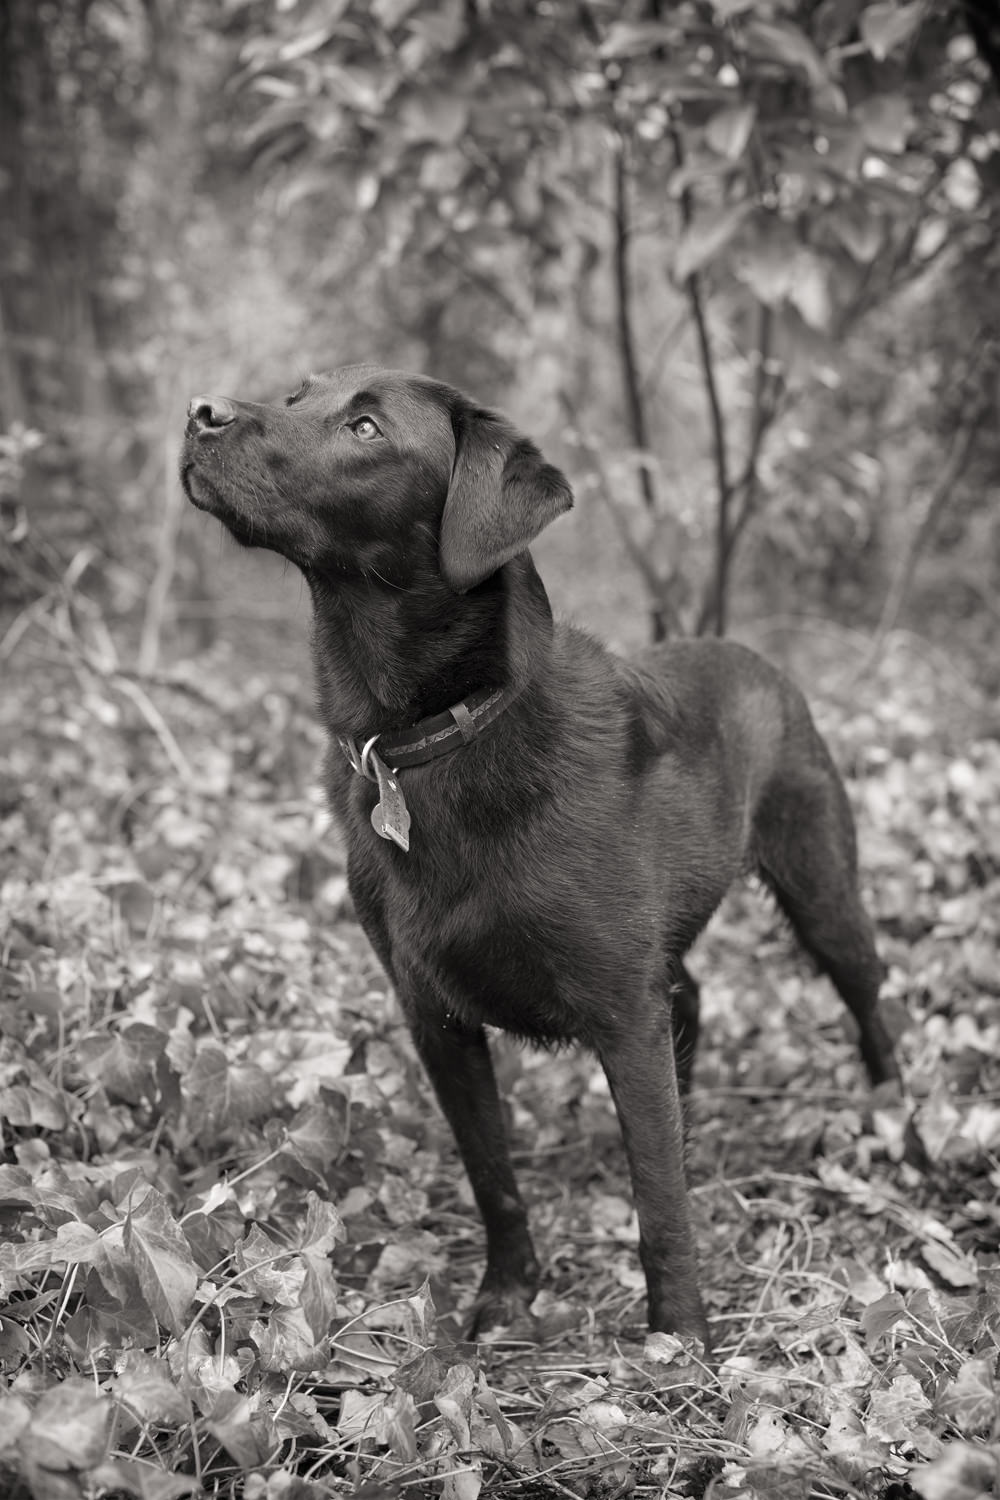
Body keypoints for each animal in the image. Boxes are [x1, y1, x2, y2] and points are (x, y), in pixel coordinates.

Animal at [183, 366, 905, 1350]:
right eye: (298, 393)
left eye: (366, 428)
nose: (201, 412)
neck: (438, 737)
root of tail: (758, 659)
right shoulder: (435, 1017)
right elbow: (495, 1178)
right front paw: (507, 1295)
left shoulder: (620, 1007)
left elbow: (661, 1201)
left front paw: (680, 1336)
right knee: (692, 1001)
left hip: (821, 887)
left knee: (868, 1000)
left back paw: (895, 1121)